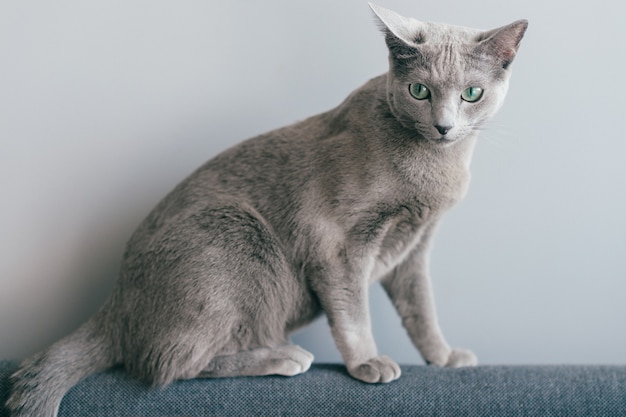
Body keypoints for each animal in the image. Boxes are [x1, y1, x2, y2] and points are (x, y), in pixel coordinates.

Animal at [7, 4, 524, 416]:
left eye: (471, 94)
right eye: (419, 91)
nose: (444, 126)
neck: (435, 172)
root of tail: (114, 304)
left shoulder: (413, 248)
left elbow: (422, 309)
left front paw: (443, 357)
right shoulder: (336, 243)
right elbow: (353, 312)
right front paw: (367, 363)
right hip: (232, 233)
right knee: (164, 364)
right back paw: (282, 356)